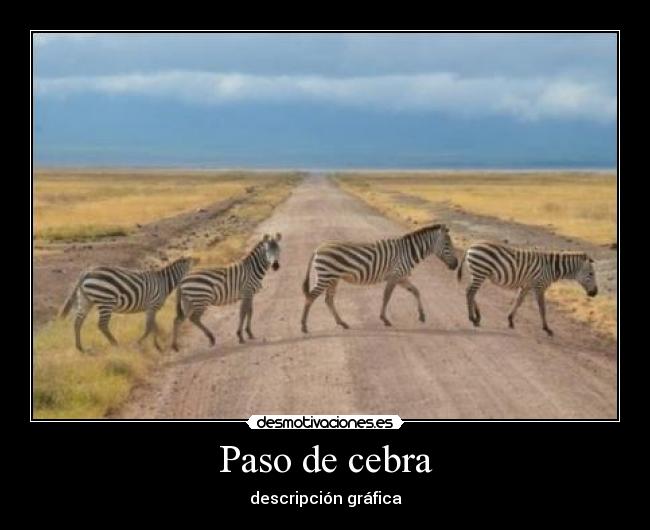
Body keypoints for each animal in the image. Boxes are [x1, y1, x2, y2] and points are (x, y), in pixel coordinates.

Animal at [60, 256, 196, 352]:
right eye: (193, 268)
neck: (164, 282)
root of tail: (86, 273)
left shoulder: (150, 308)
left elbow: (152, 326)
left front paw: (153, 344)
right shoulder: (153, 306)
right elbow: (150, 327)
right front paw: (151, 345)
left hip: (85, 300)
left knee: (78, 322)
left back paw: (80, 347)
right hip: (106, 300)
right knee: (102, 325)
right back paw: (115, 344)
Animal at [301, 223, 458, 333]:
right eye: (447, 245)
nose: (456, 265)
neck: (409, 252)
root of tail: (317, 248)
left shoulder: (401, 277)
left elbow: (416, 291)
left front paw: (422, 315)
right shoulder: (395, 275)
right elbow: (387, 296)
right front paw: (385, 319)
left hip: (333, 279)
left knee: (328, 300)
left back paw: (342, 323)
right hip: (325, 277)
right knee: (310, 297)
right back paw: (304, 326)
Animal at [457, 241, 598, 336]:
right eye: (591, 274)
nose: (595, 293)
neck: (552, 268)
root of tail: (471, 246)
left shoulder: (526, 286)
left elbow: (518, 302)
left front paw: (510, 320)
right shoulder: (539, 286)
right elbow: (542, 308)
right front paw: (547, 328)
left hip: (477, 273)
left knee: (470, 292)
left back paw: (476, 317)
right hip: (480, 272)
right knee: (470, 293)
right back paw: (473, 318)